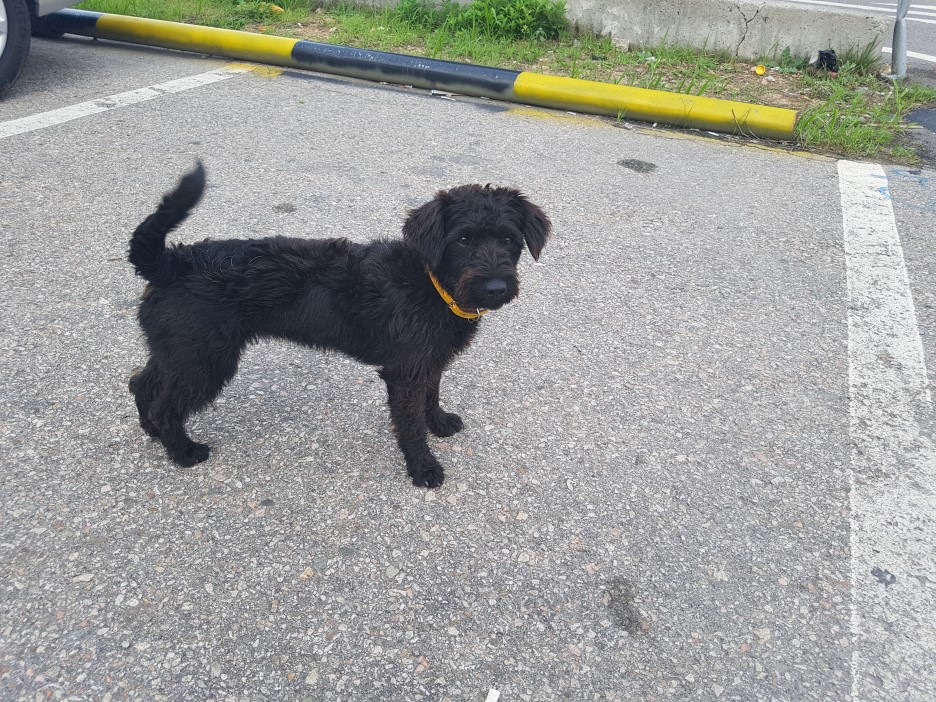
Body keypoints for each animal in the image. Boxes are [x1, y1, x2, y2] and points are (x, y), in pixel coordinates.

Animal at [127, 162, 550, 487]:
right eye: (463, 240)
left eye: (509, 240)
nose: (496, 288)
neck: (430, 282)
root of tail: (171, 263)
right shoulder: (405, 373)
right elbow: (410, 422)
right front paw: (423, 467)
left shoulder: (428, 362)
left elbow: (431, 396)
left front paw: (440, 423)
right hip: (204, 361)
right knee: (165, 406)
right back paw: (183, 451)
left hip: (178, 353)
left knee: (141, 384)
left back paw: (151, 432)